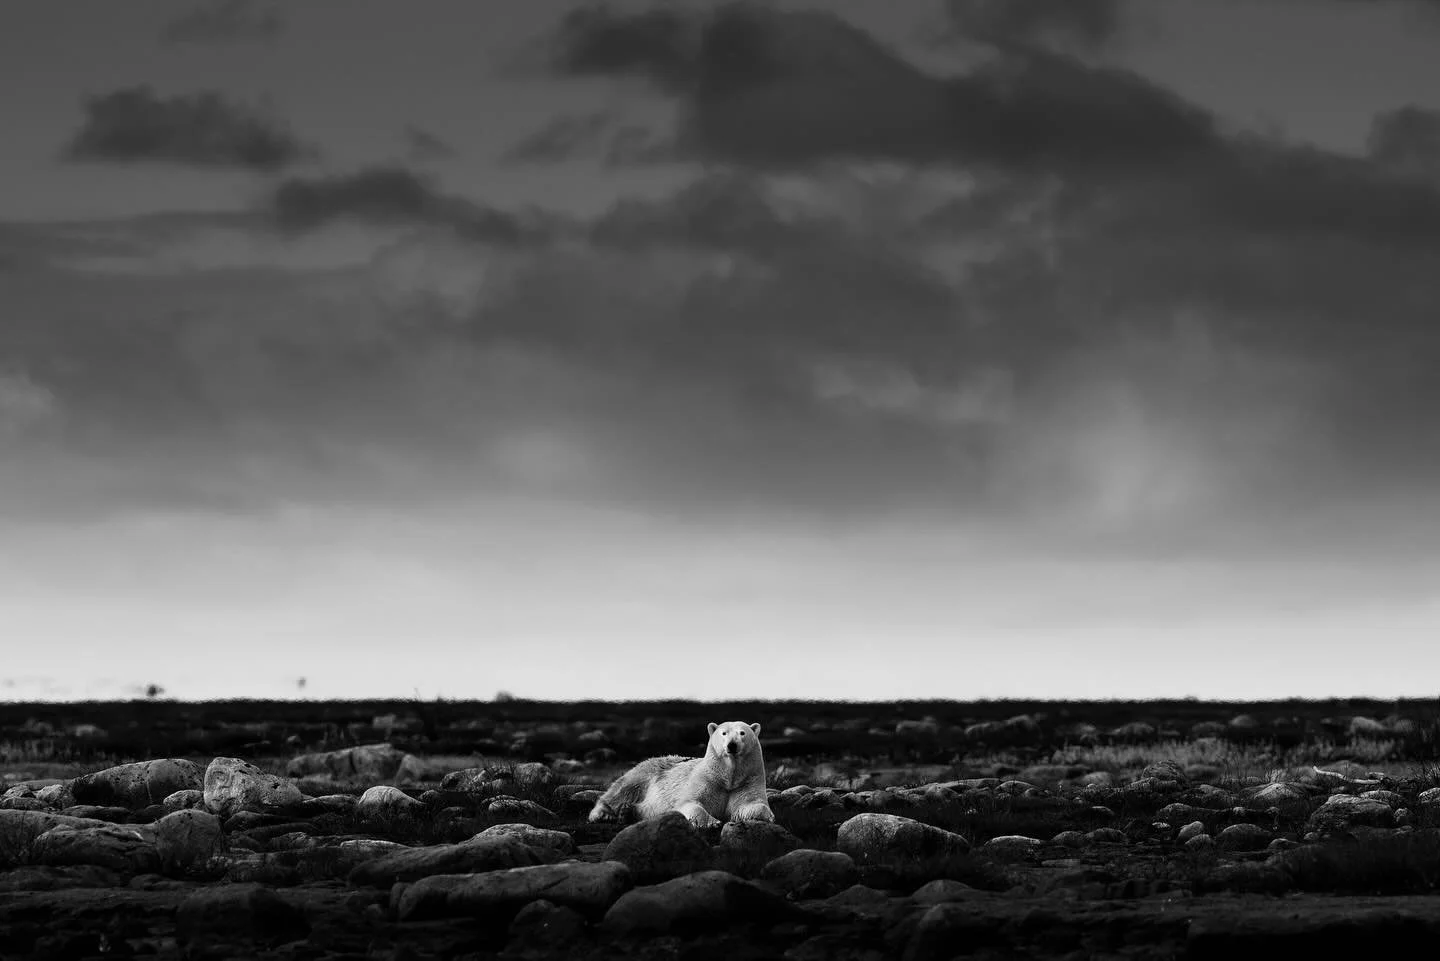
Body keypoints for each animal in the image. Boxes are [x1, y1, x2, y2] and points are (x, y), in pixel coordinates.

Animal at [588, 721, 775, 829]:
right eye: (724, 733)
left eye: (742, 733)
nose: (732, 745)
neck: (728, 777)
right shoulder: (706, 779)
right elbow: (690, 802)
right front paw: (713, 822)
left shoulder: (748, 780)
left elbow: (752, 804)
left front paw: (768, 817)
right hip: (647, 772)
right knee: (623, 788)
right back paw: (603, 814)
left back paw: (627, 812)